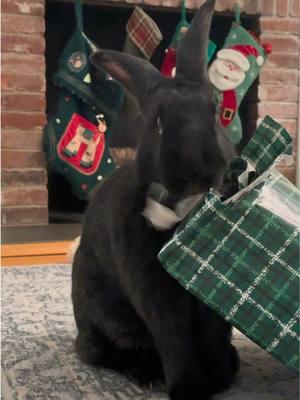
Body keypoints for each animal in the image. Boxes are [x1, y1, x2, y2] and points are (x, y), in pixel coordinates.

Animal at [71, 1, 240, 398]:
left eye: (214, 111)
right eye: (158, 124)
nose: (197, 171)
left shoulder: (209, 300)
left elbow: (212, 334)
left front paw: (220, 380)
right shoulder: (150, 286)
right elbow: (172, 335)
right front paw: (190, 389)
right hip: (107, 320)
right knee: (105, 353)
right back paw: (145, 375)